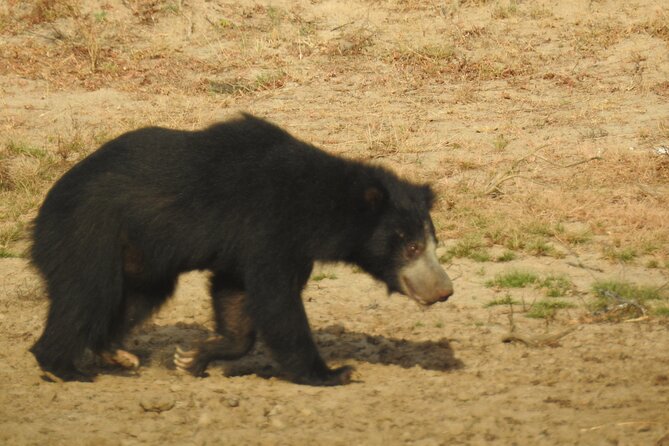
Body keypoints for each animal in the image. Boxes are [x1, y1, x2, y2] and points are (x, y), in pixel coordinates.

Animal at [29, 113, 454, 386]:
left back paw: (115, 352)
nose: (445, 290)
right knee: (86, 292)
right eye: (411, 246)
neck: (319, 208)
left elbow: (235, 294)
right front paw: (334, 373)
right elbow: (277, 302)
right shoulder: (271, 230)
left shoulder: (259, 250)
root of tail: (44, 205)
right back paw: (63, 368)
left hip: (140, 256)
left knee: (136, 297)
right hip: (87, 232)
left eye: (433, 243)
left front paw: (193, 358)